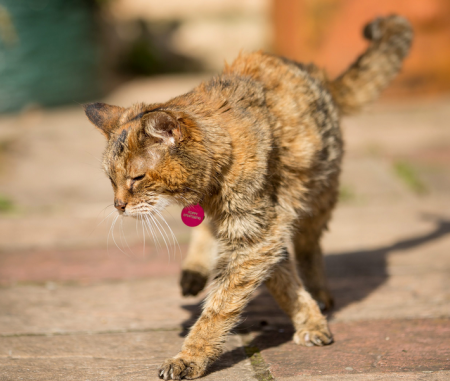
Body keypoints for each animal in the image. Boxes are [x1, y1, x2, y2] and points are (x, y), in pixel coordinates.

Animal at [83, 15, 412, 380]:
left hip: (318, 198)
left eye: (137, 178)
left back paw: (320, 291)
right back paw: (196, 270)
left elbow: (224, 303)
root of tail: (315, 73)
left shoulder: (260, 232)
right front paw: (308, 317)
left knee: (310, 248)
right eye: (111, 180)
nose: (118, 206)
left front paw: (191, 356)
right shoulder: (259, 232)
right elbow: (277, 281)